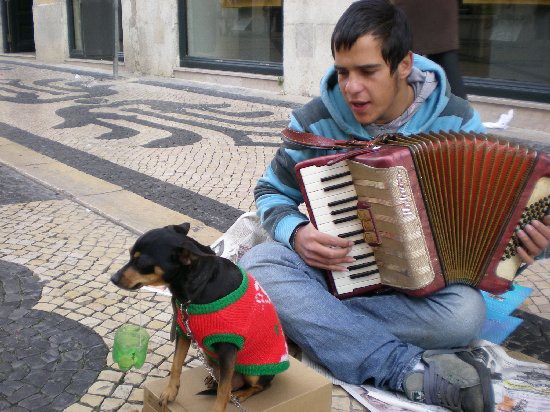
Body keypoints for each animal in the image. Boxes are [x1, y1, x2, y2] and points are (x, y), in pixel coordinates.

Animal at [112, 224, 294, 410]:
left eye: (141, 262)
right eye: (129, 254)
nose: (113, 278)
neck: (197, 287)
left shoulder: (228, 348)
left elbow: (223, 392)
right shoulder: (184, 333)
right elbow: (176, 364)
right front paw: (170, 392)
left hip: (254, 373)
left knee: (257, 386)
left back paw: (241, 393)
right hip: (210, 354)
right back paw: (213, 378)